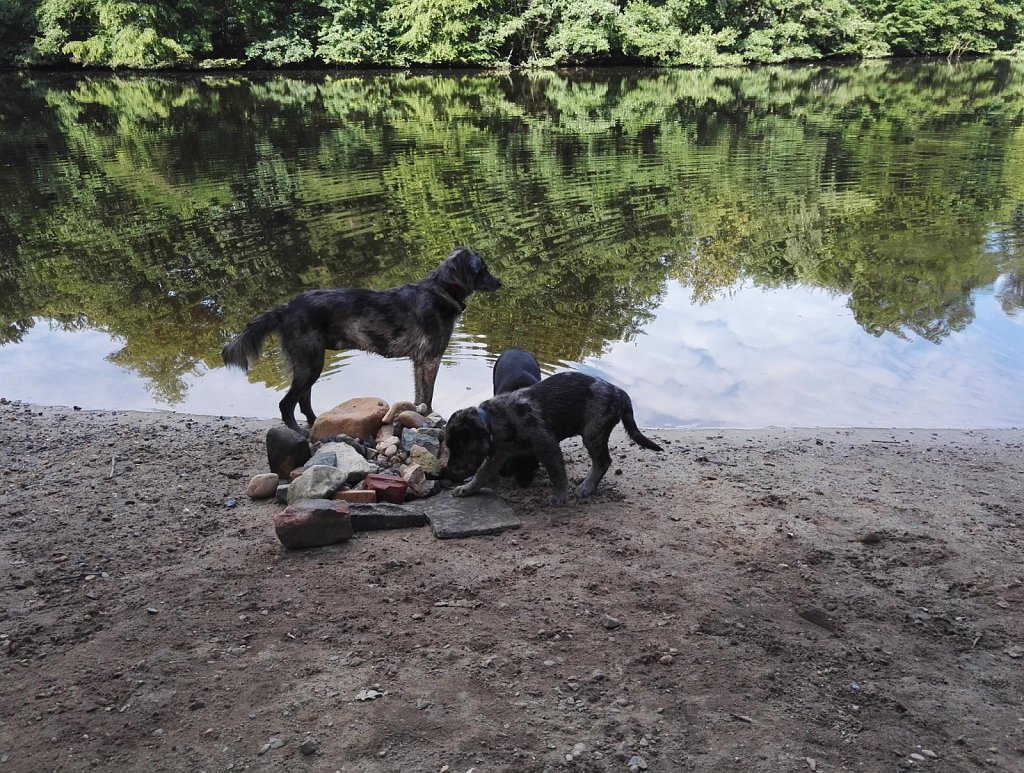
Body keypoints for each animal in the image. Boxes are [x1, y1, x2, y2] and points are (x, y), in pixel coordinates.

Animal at [222, 247, 501, 432]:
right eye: (484, 269)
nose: (500, 283)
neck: (442, 290)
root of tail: (287, 307)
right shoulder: (431, 357)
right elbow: (428, 395)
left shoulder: (420, 360)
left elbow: (420, 396)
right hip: (309, 364)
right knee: (286, 404)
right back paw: (300, 432)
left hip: (309, 365)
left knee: (303, 400)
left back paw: (315, 424)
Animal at [448, 370, 663, 505]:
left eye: (459, 446)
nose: (448, 469)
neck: (492, 421)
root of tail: (622, 394)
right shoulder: (498, 454)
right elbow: (481, 474)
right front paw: (467, 488)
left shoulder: (547, 446)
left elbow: (557, 474)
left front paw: (559, 496)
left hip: (593, 432)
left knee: (603, 461)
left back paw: (587, 487)